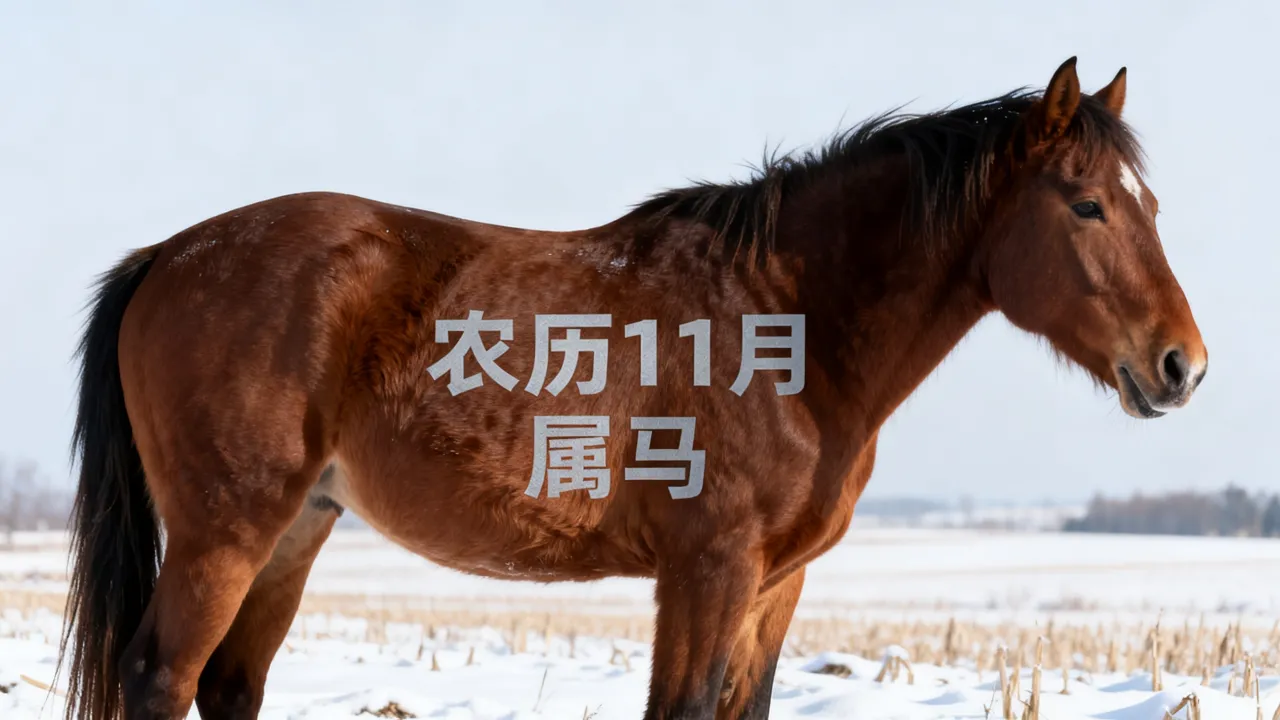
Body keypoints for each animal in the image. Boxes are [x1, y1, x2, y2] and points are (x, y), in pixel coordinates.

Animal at [57, 56, 1206, 720]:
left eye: (1148, 203)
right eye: (1086, 205)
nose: (1180, 364)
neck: (784, 323)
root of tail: (169, 256)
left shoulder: (775, 586)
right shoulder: (707, 571)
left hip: (299, 524)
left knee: (227, 686)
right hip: (227, 529)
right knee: (160, 677)